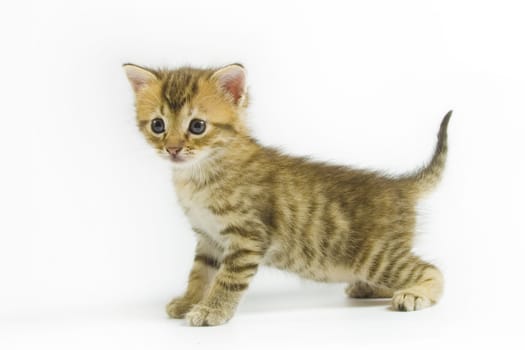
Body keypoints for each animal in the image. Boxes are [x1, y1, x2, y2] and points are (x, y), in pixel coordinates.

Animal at [123, 62, 450, 326]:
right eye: (158, 125)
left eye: (198, 126)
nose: (173, 149)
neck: (198, 175)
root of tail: (400, 185)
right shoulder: (208, 238)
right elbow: (199, 274)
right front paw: (189, 300)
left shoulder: (247, 238)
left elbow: (227, 279)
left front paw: (211, 310)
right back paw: (369, 288)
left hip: (373, 256)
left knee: (431, 269)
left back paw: (414, 294)